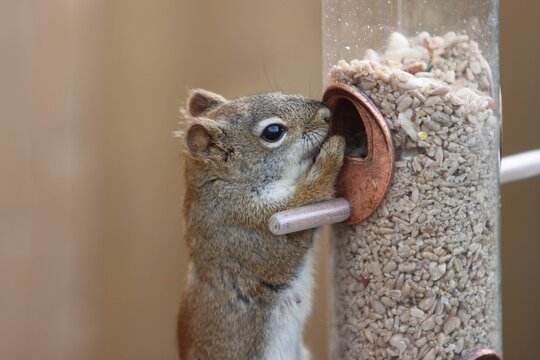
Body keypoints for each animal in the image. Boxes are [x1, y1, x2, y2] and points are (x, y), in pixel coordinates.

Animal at [177, 88, 346, 360]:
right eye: (273, 132)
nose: (327, 114)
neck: (224, 185)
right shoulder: (249, 227)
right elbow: (311, 198)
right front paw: (332, 153)